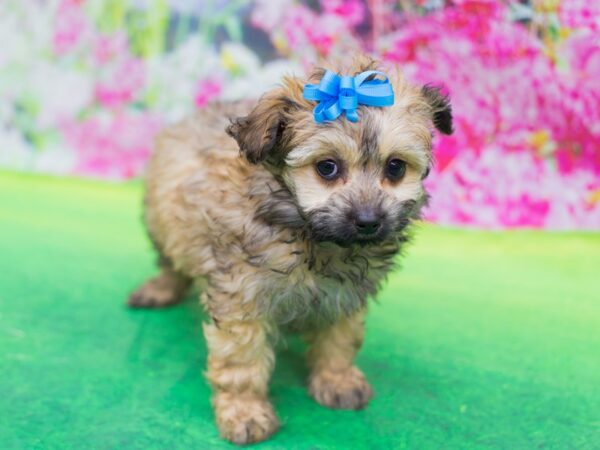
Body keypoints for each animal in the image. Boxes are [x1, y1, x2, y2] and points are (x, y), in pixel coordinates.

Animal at [129, 55, 452, 442]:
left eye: (395, 167)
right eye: (327, 167)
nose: (368, 220)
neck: (313, 237)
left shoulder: (344, 294)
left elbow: (340, 338)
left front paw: (336, 379)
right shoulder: (241, 296)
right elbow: (241, 361)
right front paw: (244, 411)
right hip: (160, 219)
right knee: (170, 262)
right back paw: (159, 290)